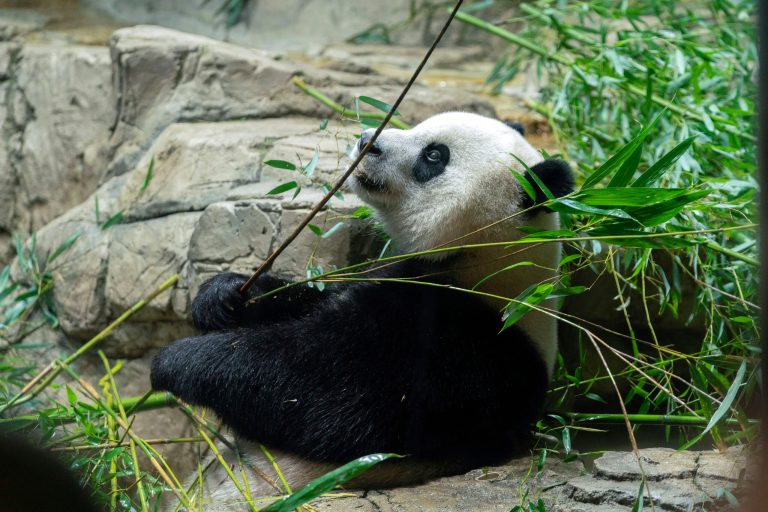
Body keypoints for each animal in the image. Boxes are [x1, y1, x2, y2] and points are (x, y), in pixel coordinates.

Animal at [150, 112, 573, 509]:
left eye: (434, 156)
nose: (367, 140)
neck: (492, 262)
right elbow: (313, 299)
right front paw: (222, 297)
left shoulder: (464, 349)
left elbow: (322, 395)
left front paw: (180, 360)